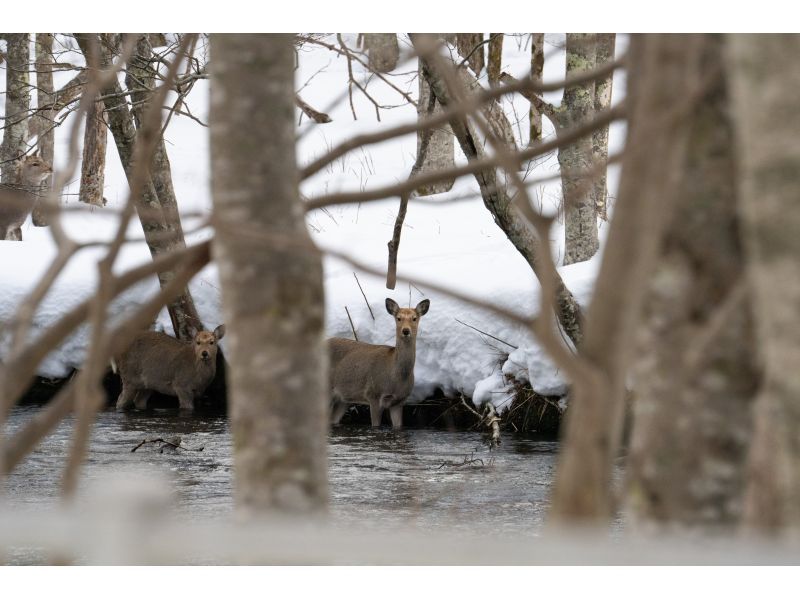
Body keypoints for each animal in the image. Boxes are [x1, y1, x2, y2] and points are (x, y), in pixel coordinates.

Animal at [328, 298, 432, 432]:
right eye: (398, 318)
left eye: (414, 318)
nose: (405, 331)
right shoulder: (373, 395)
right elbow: (375, 426)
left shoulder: (399, 401)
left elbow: (399, 426)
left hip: (343, 398)